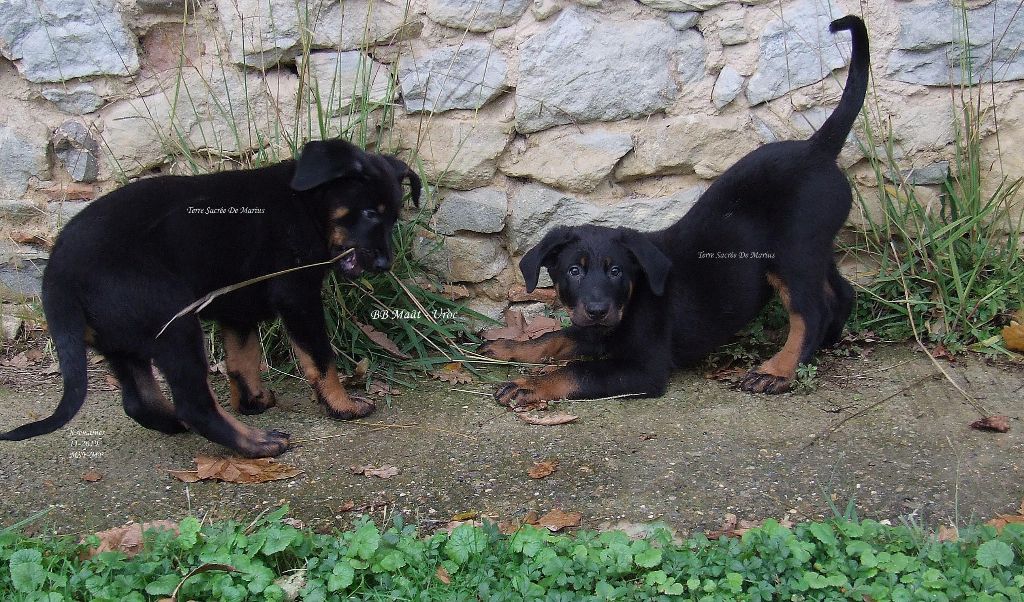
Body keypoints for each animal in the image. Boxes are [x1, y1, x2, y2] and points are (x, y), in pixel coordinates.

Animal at [1, 139, 419, 456]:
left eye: (393, 216)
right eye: (370, 212)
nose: (384, 264)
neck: (304, 204)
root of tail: (58, 275)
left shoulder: (238, 308)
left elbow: (243, 360)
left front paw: (252, 402)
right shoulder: (298, 297)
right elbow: (319, 358)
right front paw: (342, 405)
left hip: (122, 341)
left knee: (141, 402)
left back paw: (180, 424)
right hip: (174, 326)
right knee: (194, 404)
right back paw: (257, 445)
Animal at [483, 15, 868, 405]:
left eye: (617, 271)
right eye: (574, 271)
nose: (597, 309)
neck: (632, 298)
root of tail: (818, 148)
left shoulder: (642, 369)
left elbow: (575, 371)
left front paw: (530, 384)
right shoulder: (591, 330)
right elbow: (552, 338)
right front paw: (506, 346)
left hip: (792, 254)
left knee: (811, 312)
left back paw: (777, 370)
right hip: (818, 246)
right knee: (840, 294)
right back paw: (824, 345)